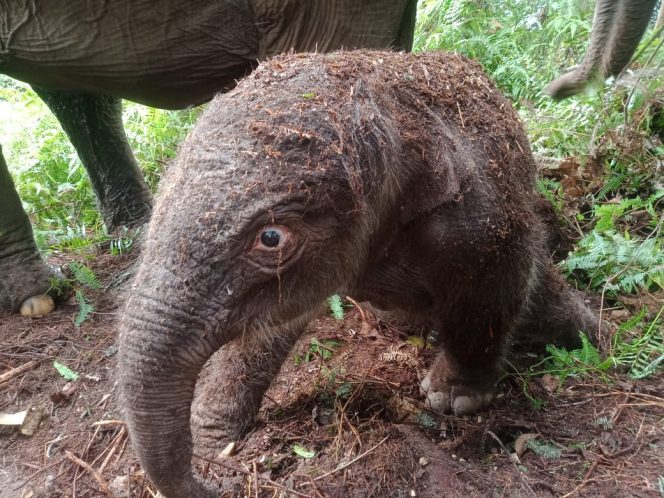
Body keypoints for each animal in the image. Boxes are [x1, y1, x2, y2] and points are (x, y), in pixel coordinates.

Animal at [118, 50, 600, 498]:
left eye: (271, 238)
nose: (215, 484)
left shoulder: (479, 221)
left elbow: (500, 282)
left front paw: (452, 397)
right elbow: (271, 329)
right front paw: (216, 439)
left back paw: (594, 336)